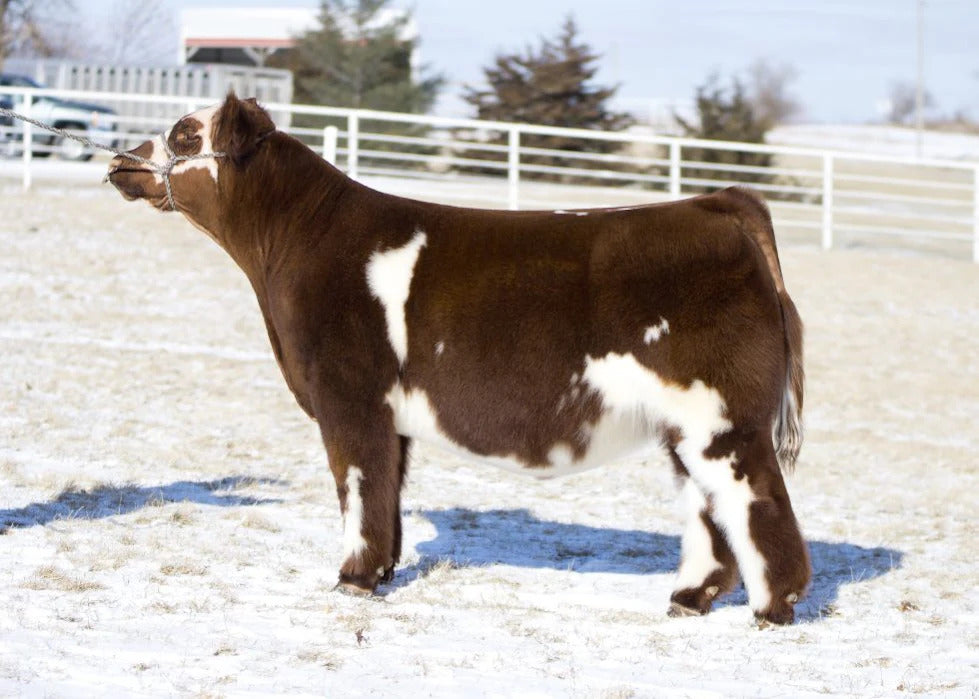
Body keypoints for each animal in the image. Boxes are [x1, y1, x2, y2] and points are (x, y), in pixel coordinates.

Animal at [106, 94, 810, 625]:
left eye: (184, 133)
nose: (120, 159)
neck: (299, 242)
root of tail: (717, 205)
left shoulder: (348, 397)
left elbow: (357, 486)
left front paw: (351, 580)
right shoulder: (388, 418)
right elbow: (387, 493)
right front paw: (381, 574)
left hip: (723, 420)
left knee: (760, 506)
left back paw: (773, 609)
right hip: (687, 426)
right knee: (710, 514)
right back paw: (688, 597)